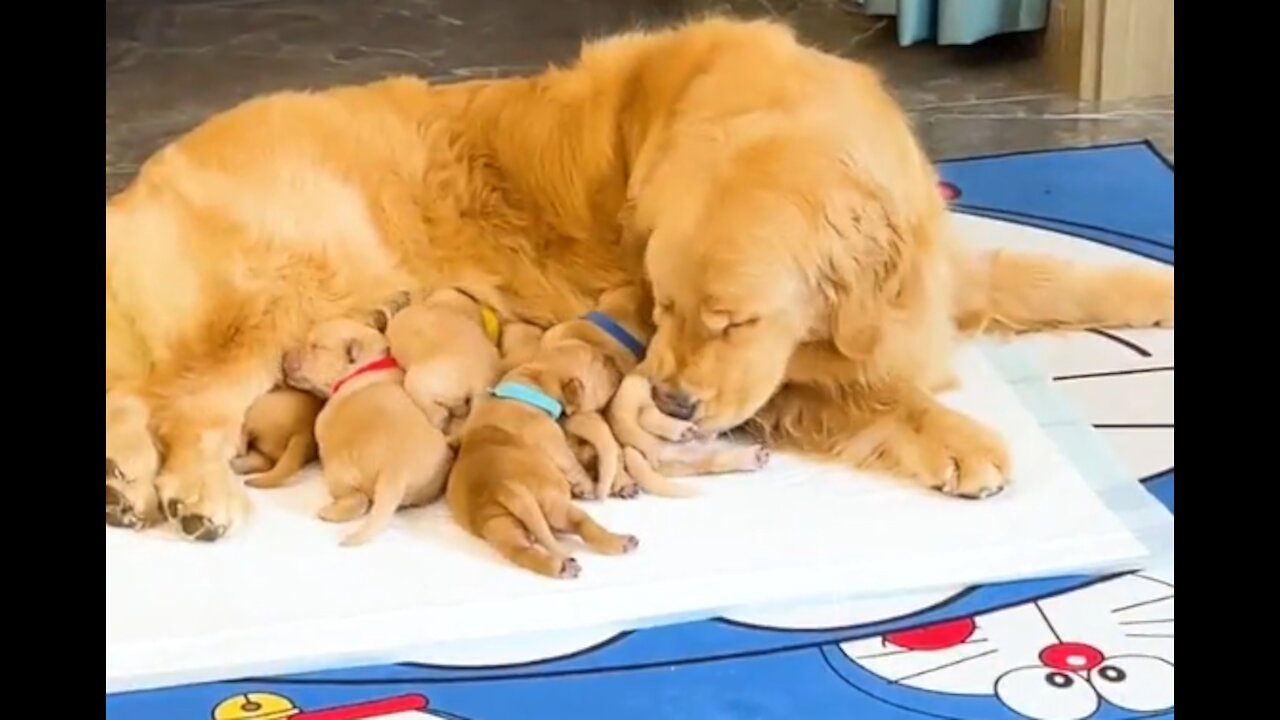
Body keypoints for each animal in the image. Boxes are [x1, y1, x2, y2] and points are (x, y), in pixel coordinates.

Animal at [285, 313, 455, 543]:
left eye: (315, 347)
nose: (284, 355)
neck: (366, 366)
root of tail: (395, 473)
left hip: (338, 471)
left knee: (359, 500)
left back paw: (329, 512)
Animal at [448, 338, 637, 579]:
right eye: (601, 363)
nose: (616, 364)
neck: (536, 378)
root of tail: (505, 488)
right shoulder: (552, 438)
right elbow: (570, 461)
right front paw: (585, 485)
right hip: (557, 507)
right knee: (584, 525)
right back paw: (619, 541)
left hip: (499, 525)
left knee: (522, 551)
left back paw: (560, 566)